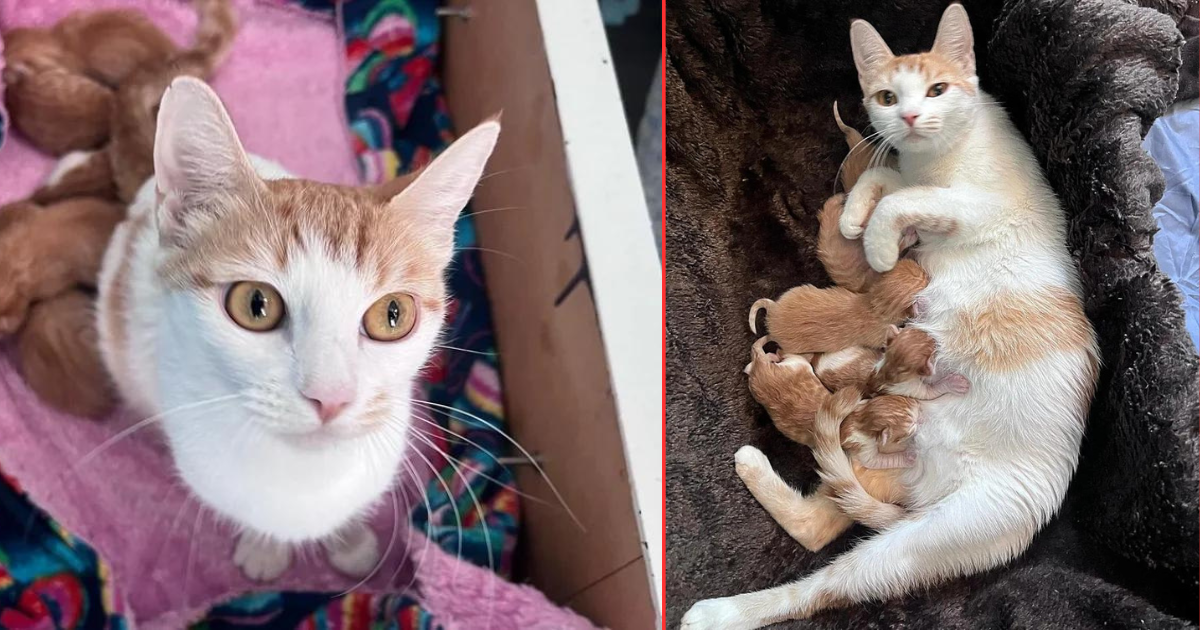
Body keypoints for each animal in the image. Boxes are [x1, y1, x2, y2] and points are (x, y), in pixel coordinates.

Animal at [686, 3, 1099, 624]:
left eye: (937, 89)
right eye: (885, 96)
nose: (908, 116)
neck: (937, 159)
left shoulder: (982, 204)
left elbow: (905, 197)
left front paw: (876, 240)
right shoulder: (910, 173)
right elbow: (888, 178)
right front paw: (856, 216)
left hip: (942, 531)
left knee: (825, 573)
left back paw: (719, 610)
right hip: (887, 487)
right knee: (820, 526)